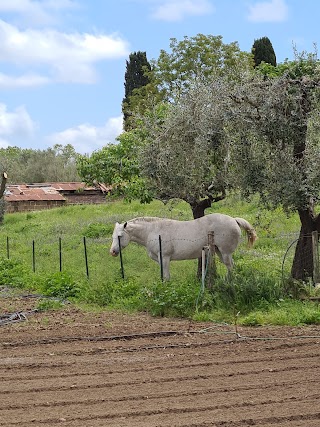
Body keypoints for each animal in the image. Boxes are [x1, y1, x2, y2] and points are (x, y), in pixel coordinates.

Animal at [110, 213, 258, 280]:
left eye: (120, 236)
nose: (112, 252)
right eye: (113, 236)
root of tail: (234, 220)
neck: (153, 231)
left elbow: (166, 276)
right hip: (220, 252)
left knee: (230, 266)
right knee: (231, 267)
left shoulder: (165, 258)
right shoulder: (160, 260)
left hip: (225, 253)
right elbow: (164, 275)